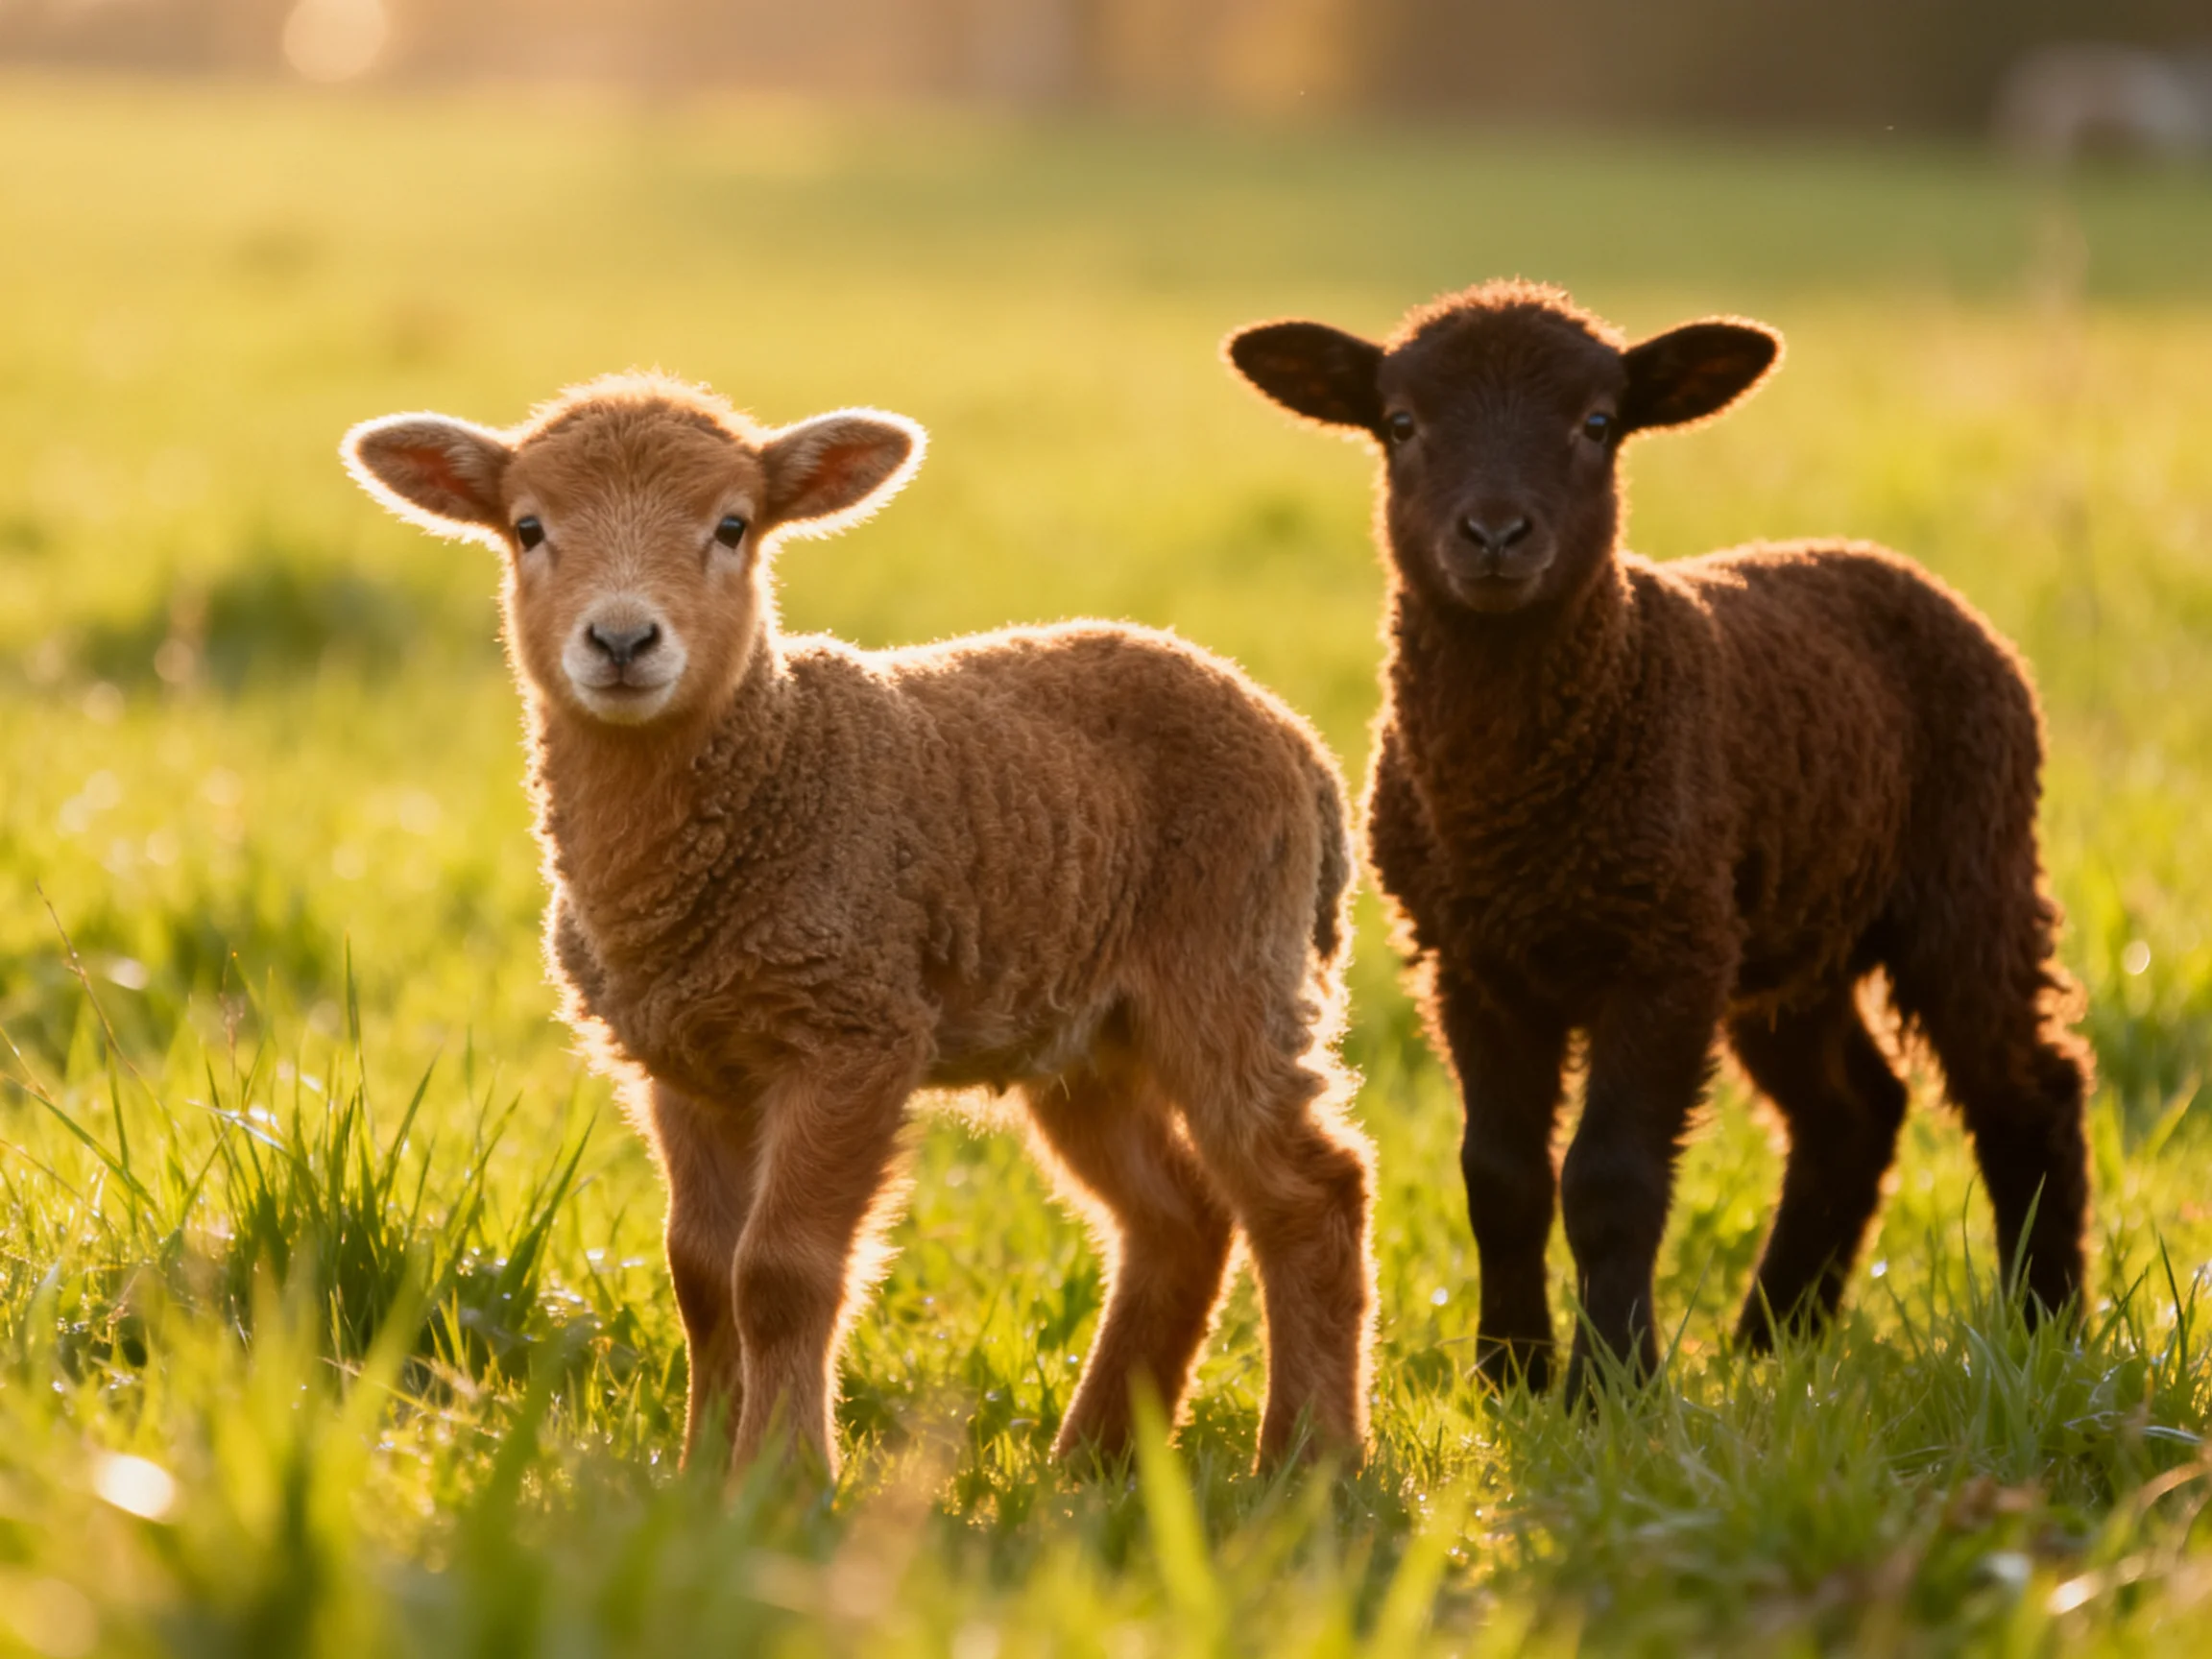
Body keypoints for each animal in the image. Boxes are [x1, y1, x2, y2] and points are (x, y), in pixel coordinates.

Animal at [340, 372, 1373, 1477]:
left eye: (734, 526)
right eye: (528, 528)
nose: (621, 642)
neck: (776, 767)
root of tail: (1298, 744)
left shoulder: (853, 1030)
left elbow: (778, 1274)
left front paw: (785, 1478)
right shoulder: (687, 1066)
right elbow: (700, 1273)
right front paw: (701, 1472)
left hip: (1232, 965)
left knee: (1311, 1195)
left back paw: (1311, 1462)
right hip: (1090, 1035)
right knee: (1180, 1217)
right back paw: (1091, 1462)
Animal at [1226, 281, 2090, 1398]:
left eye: (1598, 424)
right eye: (1402, 424)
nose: (1496, 533)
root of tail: (1891, 567)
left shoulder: (1662, 953)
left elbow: (1610, 1180)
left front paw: (1611, 1384)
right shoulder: (1471, 961)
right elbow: (1499, 1176)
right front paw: (1511, 1374)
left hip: (1967, 873)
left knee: (2028, 1092)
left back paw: (2046, 1326)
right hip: (1785, 936)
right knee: (1852, 1113)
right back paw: (1772, 1337)